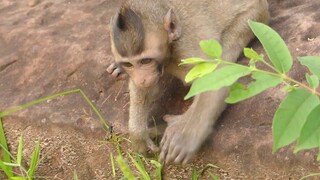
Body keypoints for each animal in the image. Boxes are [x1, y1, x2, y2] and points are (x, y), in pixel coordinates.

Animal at [108, 0, 270, 164]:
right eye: (129, 64)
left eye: (146, 61)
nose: (142, 78)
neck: (170, 52)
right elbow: (145, 89)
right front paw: (138, 134)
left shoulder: (188, 50)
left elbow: (215, 83)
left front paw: (186, 138)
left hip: (255, 17)